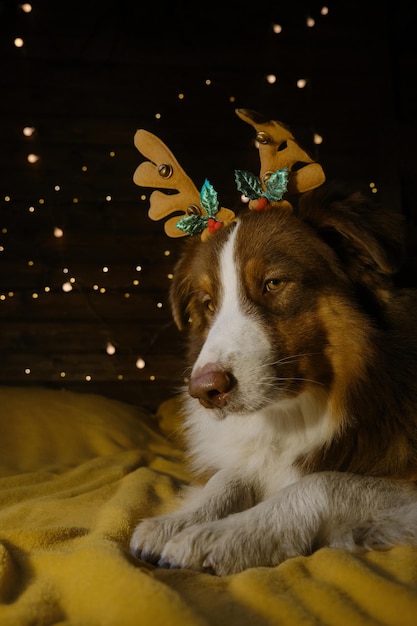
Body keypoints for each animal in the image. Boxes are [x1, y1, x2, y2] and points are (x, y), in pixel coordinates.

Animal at [129, 127, 416, 576]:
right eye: (208, 304)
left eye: (273, 284)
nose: (205, 391)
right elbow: (229, 477)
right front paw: (181, 519)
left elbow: (324, 482)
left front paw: (225, 535)